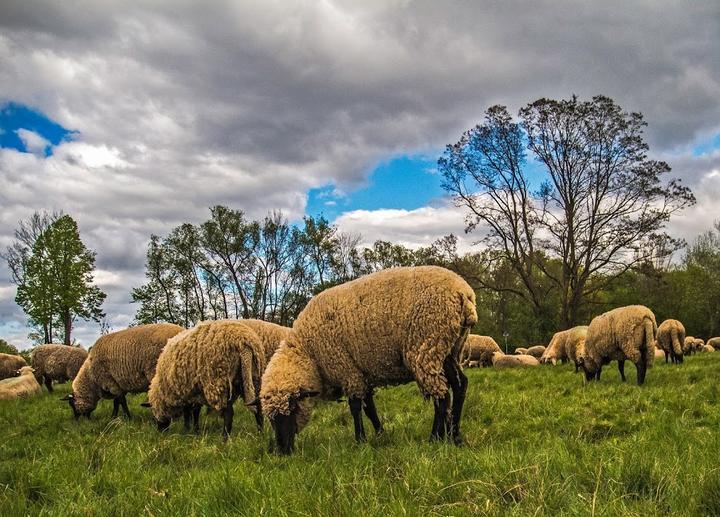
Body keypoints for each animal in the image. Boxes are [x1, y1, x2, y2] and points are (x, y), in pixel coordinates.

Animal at [258, 264, 478, 454]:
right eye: (271, 419)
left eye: (293, 408)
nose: (282, 451)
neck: (309, 353)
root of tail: (464, 293)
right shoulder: (362, 372)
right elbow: (369, 408)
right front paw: (380, 434)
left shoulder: (347, 369)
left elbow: (355, 407)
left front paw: (360, 440)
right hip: (448, 348)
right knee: (460, 385)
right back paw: (454, 435)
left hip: (426, 346)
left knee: (441, 396)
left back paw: (435, 438)